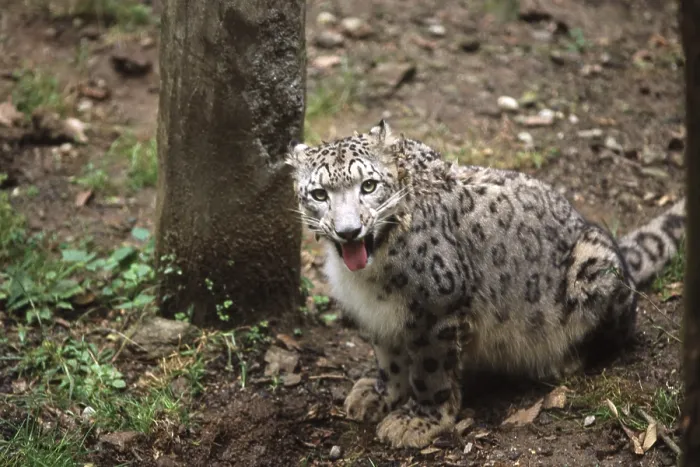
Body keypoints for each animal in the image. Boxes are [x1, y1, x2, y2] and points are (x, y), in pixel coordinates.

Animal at [286, 120, 686, 449]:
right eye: (319, 194)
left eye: (368, 185)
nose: (348, 230)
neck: (370, 280)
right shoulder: (382, 316)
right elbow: (390, 358)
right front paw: (378, 394)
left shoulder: (437, 308)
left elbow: (429, 371)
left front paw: (417, 421)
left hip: (594, 264)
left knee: (617, 333)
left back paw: (563, 361)